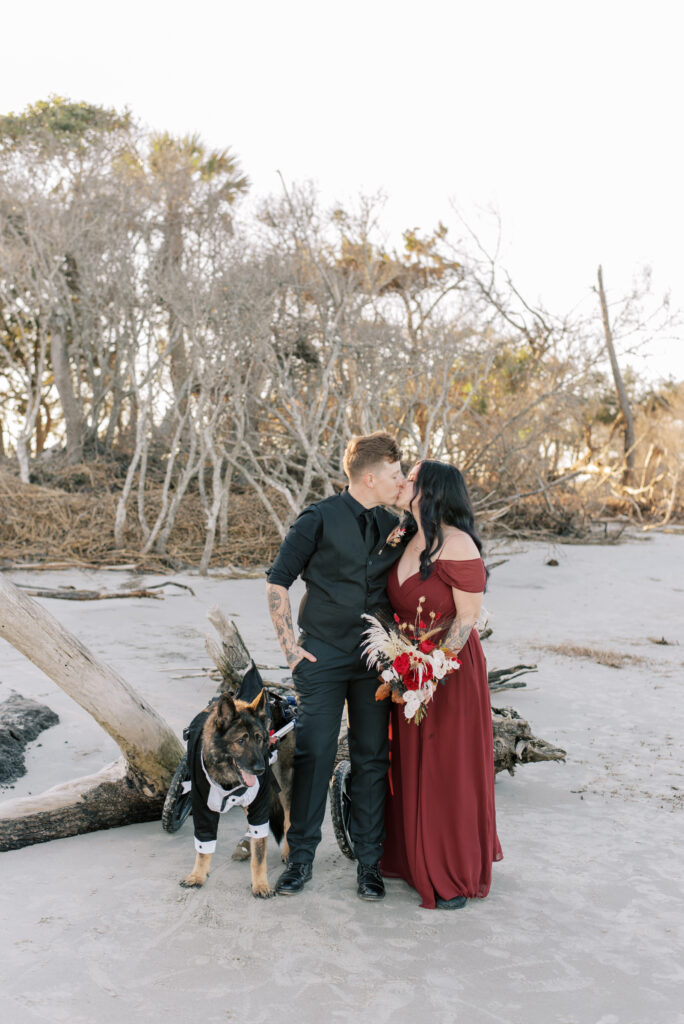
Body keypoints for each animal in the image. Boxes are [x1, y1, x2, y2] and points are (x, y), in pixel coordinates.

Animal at [179, 688, 294, 897]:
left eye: (259, 738)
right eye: (240, 741)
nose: (261, 769)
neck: (228, 780)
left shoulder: (259, 804)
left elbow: (260, 854)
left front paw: (260, 884)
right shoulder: (203, 809)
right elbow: (203, 847)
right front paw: (198, 875)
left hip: (283, 783)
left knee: (288, 818)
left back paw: (289, 852)